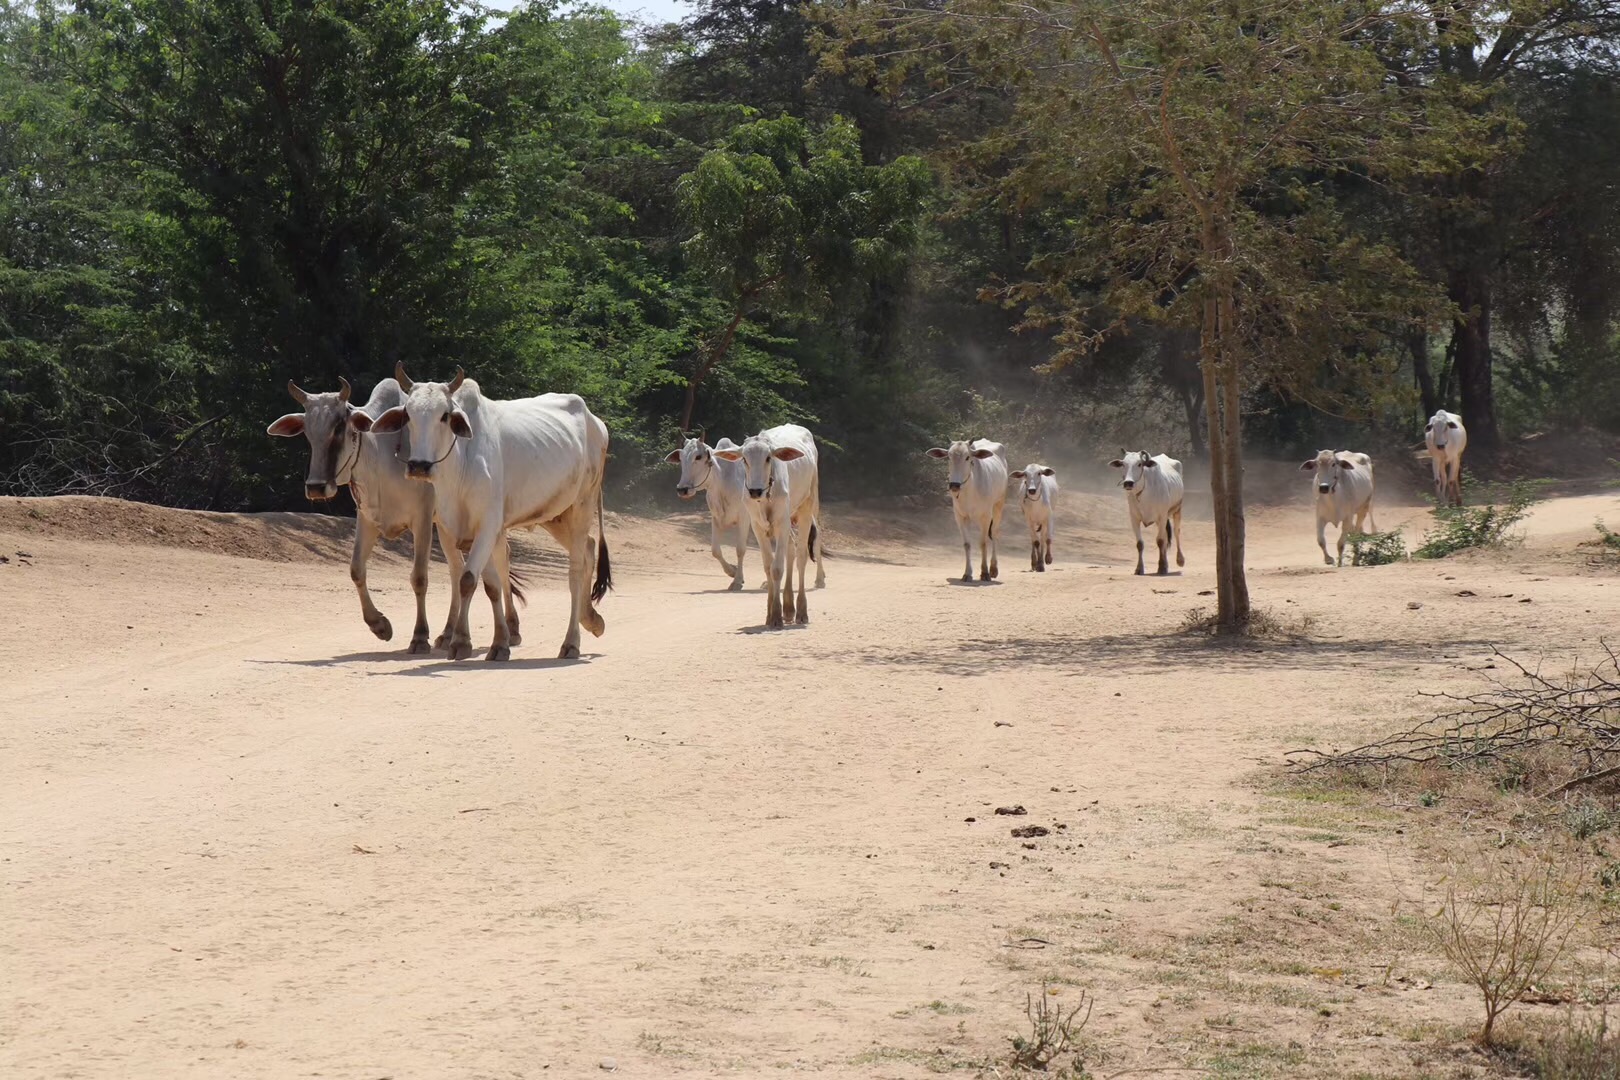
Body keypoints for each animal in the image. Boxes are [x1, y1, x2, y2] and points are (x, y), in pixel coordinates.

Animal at [364, 367, 609, 663]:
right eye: (408, 415)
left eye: (444, 415)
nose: (419, 466)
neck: (461, 464)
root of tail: (597, 423)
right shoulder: (450, 529)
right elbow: (489, 584)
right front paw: (499, 643)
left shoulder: (487, 526)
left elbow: (468, 580)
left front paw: (460, 641)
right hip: (556, 515)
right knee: (589, 548)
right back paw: (591, 619)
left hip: (582, 505)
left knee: (575, 569)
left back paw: (572, 642)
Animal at [664, 437, 758, 592]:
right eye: (681, 458)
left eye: (698, 456)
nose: (682, 489)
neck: (722, 480)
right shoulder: (716, 518)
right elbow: (715, 550)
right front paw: (732, 571)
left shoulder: (744, 518)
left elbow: (740, 550)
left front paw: (737, 581)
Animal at [716, 420, 822, 625]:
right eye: (744, 459)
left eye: (768, 458)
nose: (755, 491)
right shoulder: (757, 526)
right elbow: (768, 566)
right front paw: (771, 612)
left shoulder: (781, 522)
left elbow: (777, 568)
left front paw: (776, 615)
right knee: (790, 550)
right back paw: (789, 608)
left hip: (807, 507)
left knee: (801, 556)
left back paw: (801, 610)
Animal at [926, 437, 997, 582]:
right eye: (948, 456)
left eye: (967, 457)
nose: (954, 485)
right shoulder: (960, 517)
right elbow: (967, 544)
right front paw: (967, 573)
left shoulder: (986, 517)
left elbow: (983, 543)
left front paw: (985, 572)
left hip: (999, 507)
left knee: (995, 534)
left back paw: (993, 568)